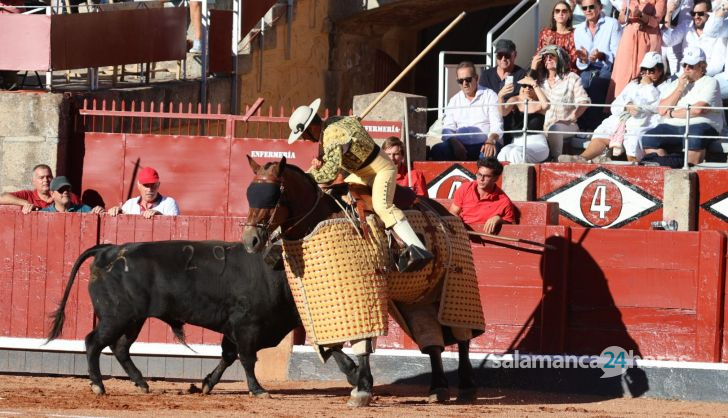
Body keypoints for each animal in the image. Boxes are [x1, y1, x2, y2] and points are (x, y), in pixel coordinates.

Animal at [46, 240, 302, 396]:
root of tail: (108, 250)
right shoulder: (246, 326)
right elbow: (247, 359)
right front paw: (258, 390)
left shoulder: (233, 330)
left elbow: (228, 356)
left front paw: (206, 384)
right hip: (115, 316)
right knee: (93, 343)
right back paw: (98, 386)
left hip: (133, 320)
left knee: (120, 348)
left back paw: (142, 384)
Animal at [242, 155, 486, 406]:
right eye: (250, 194)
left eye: (272, 195)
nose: (250, 240)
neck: (318, 218)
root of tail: (444, 211)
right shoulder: (321, 305)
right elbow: (331, 342)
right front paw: (354, 376)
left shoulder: (361, 293)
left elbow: (363, 342)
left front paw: (362, 388)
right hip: (416, 298)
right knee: (430, 337)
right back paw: (438, 388)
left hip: (455, 285)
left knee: (462, 335)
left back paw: (466, 387)